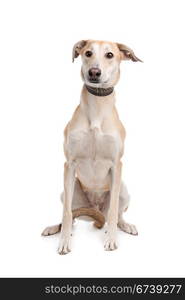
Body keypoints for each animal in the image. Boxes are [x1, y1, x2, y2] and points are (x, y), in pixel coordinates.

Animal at [42, 39, 142, 254]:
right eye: (88, 53)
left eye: (110, 55)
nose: (94, 72)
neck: (97, 105)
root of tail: (95, 209)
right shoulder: (69, 164)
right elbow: (67, 214)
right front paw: (64, 241)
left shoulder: (116, 164)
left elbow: (113, 211)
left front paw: (111, 239)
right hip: (68, 191)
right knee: (71, 215)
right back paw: (56, 228)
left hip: (123, 190)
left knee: (116, 215)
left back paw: (125, 225)